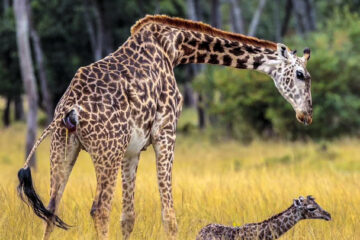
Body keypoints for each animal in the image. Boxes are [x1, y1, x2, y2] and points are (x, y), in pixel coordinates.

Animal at [16, 15, 312, 240]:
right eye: (301, 75)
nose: (307, 114)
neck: (176, 47)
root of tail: (69, 108)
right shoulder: (166, 131)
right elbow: (169, 215)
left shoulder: (132, 149)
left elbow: (128, 217)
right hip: (107, 151)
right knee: (99, 209)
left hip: (63, 147)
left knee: (51, 208)